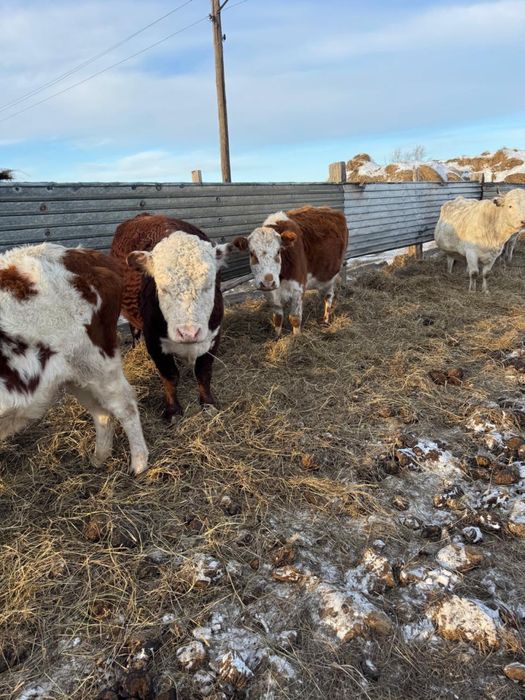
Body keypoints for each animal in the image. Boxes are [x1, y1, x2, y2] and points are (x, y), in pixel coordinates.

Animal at [0, 244, 149, 475]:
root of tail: (81, 253)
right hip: (77, 374)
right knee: (101, 412)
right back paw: (99, 458)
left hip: (98, 363)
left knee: (125, 405)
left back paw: (139, 464)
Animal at [110, 214, 229, 422]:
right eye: (163, 287)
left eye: (209, 285)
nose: (188, 333)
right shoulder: (154, 341)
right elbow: (170, 376)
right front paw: (173, 410)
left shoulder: (214, 336)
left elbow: (204, 372)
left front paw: (208, 404)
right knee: (134, 331)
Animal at [228, 206, 348, 336]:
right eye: (252, 253)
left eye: (278, 251)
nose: (268, 282)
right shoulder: (270, 293)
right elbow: (277, 318)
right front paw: (277, 336)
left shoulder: (298, 289)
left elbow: (295, 318)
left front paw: (296, 337)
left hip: (332, 275)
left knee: (328, 297)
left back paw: (325, 320)